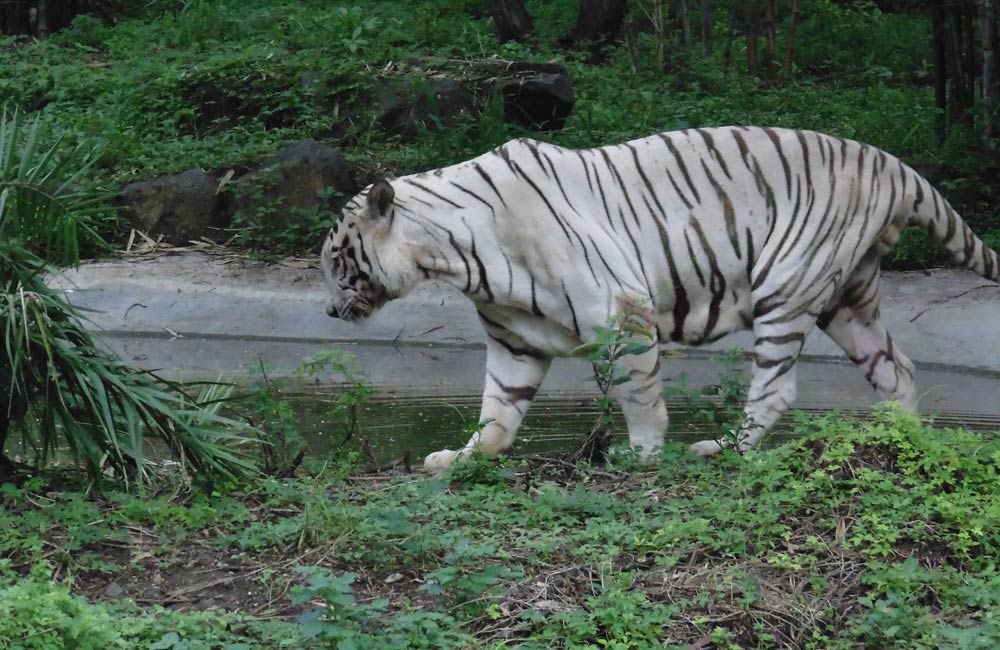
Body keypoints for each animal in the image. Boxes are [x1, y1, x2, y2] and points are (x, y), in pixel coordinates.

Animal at [320, 128, 1000, 470]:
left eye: (335, 263)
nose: (328, 311)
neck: (451, 254)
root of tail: (894, 164)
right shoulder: (513, 341)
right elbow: (497, 408)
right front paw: (463, 457)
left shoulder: (619, 311)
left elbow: (638, 393)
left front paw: (643, 453)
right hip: (848, 298)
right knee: (896, 369)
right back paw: (905, 442)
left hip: (788, 282)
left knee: (777, 386)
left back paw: (722, 449)